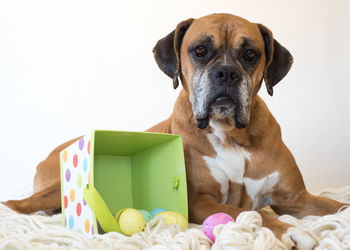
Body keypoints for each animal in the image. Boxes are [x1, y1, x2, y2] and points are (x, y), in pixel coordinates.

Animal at [4, 13, 348, 248]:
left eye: (251, 54)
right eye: (200, 50)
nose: (226, 73)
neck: (233, 135)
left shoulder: (296, 198)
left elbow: (336, 207)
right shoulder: (199, 200)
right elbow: (253, 213)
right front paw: (292, 230)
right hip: (51, 190)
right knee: (20, 205)